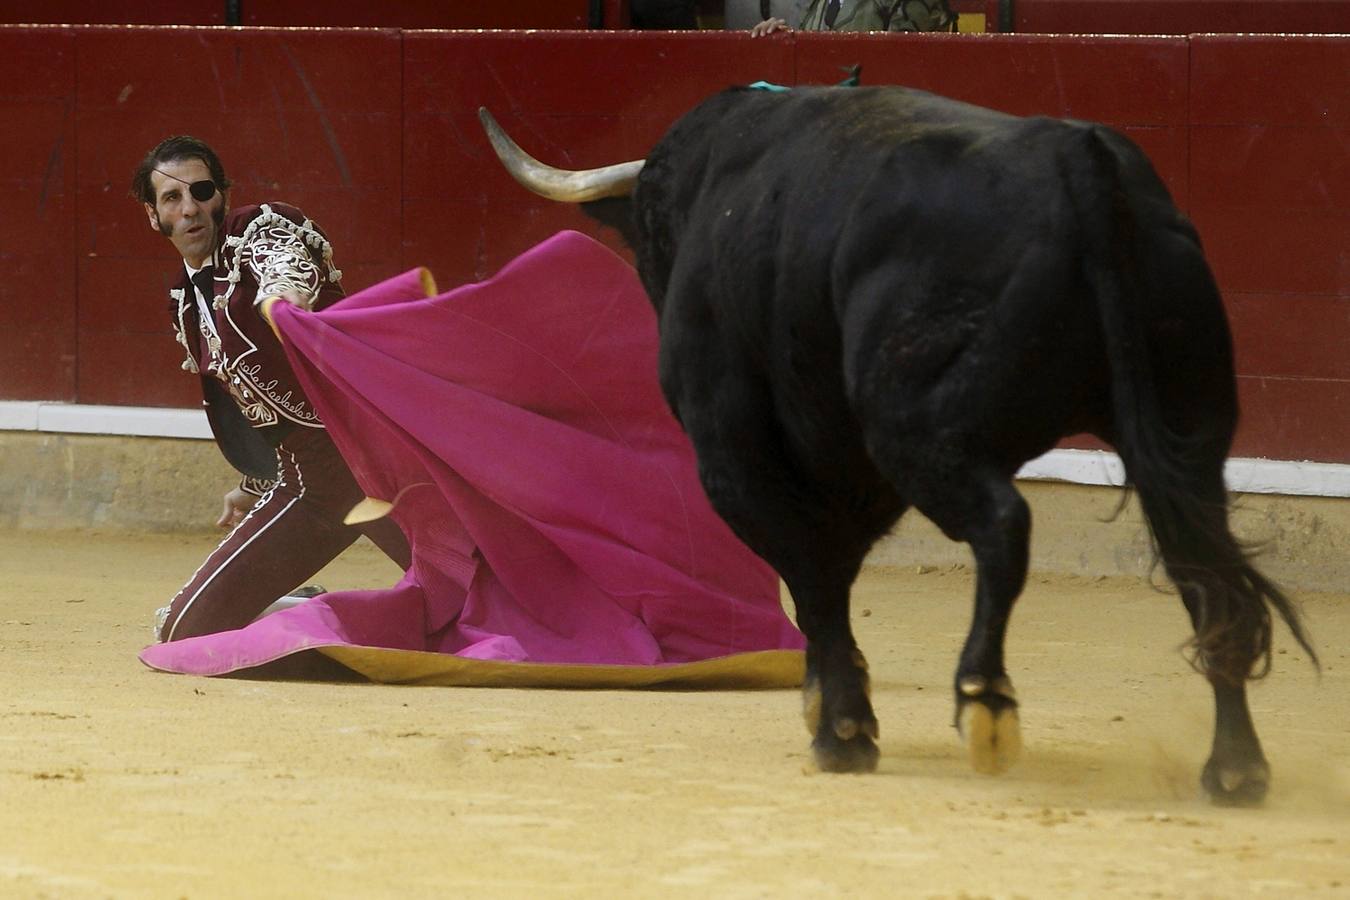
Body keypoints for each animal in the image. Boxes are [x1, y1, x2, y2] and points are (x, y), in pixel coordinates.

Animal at [477, 80, 1317, 804]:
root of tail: (1075, 160)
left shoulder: (738, 455)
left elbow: (811, 574)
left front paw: (843, 730)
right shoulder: (850, 468)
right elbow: (831, 573)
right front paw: (831, 699)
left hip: (918, 432)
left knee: (1004, 525)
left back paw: (986, 703)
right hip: (1186, 431)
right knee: (1203, 570)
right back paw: (1234, 768)